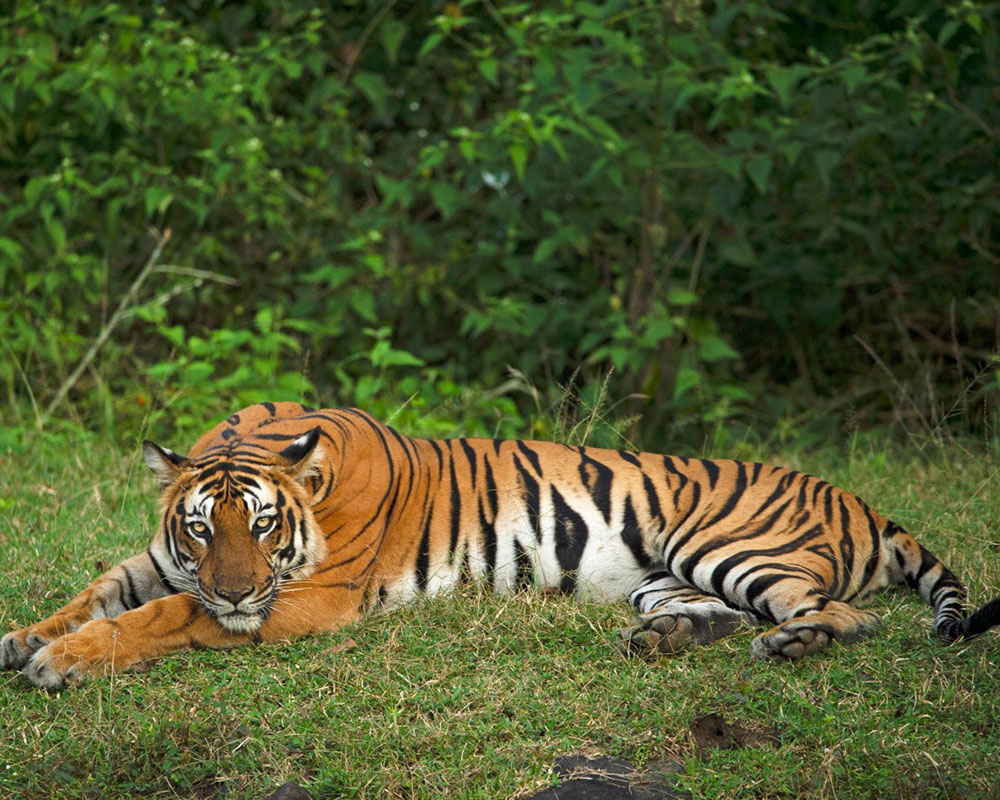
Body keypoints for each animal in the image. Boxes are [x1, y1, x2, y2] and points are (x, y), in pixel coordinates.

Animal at [1, 404, 1000, 692]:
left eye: (265, 526)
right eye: (203, 528)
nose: (240, 592)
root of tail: (860, 498)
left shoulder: (305, 600)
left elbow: (164, 615)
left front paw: (58, 663)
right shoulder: (169, 563)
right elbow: (104, 588)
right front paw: (23, 637)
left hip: (727, 544)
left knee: (850, 615)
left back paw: (791, 644)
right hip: (663, 579)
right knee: (706, 614)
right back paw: (665, 641)